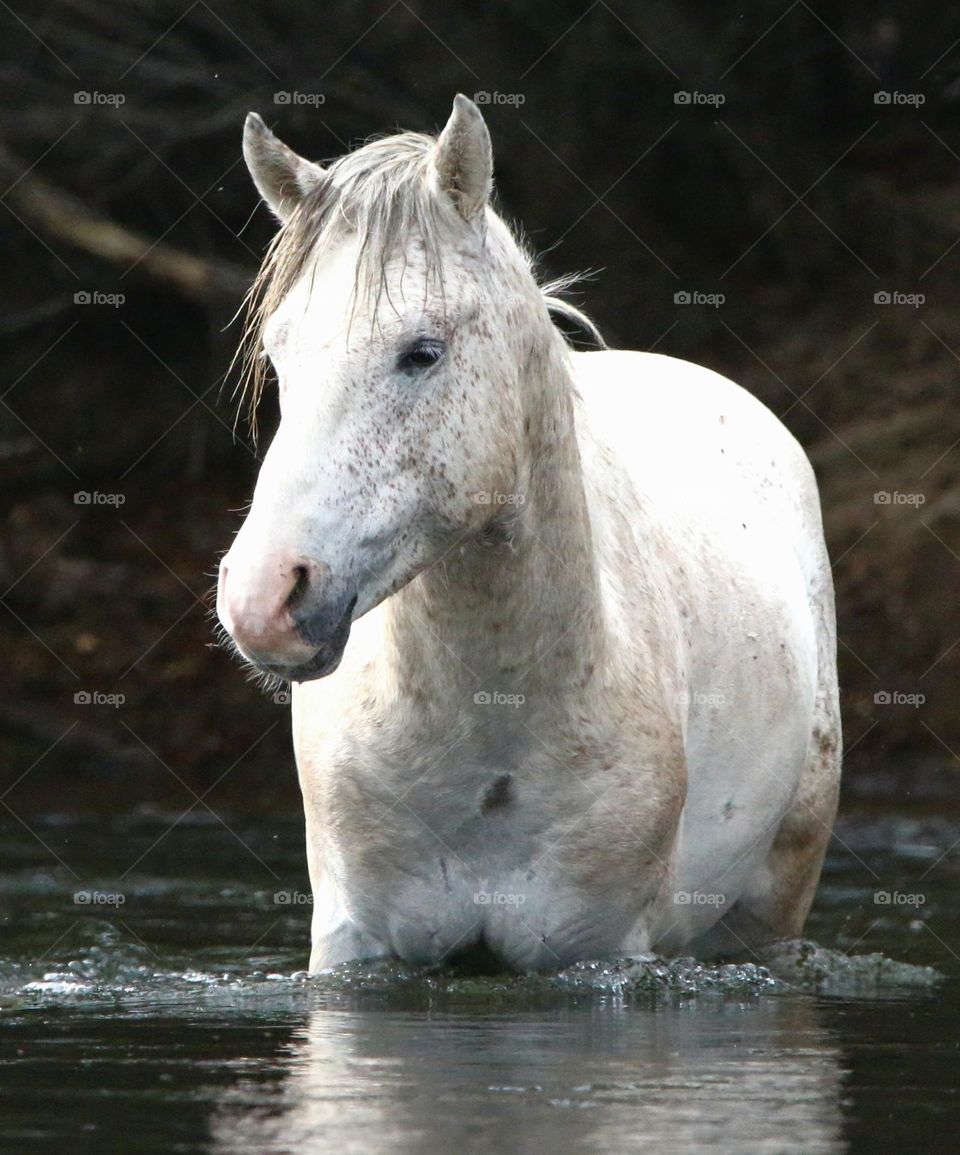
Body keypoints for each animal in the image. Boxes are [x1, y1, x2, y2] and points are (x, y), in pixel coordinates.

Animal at [216, 95, 841, 973]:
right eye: (279, 355)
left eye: (422, 352)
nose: (263, 600)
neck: (495, 729)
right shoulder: (354, 945)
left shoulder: (602, 950)